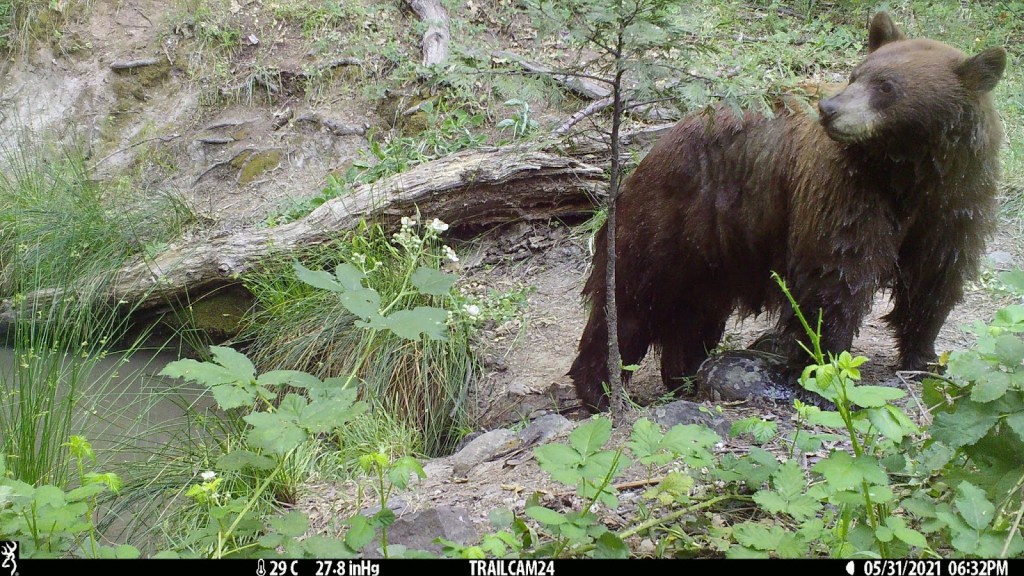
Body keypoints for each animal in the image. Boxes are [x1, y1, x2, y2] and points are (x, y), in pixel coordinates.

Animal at [568, 11, 1007, 412]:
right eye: (855, 75)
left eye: (886, 86)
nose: (829, 108)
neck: (909, 170)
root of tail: (655, 149)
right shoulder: (846, 191)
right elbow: (836, 275)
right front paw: (826, 371)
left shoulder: (955, 202)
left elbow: (934, 277)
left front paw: (925, 357)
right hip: (671, 217)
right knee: (631, 301)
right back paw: (600, 389)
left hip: (716, 247)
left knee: (694, 311)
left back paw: (686, 372)